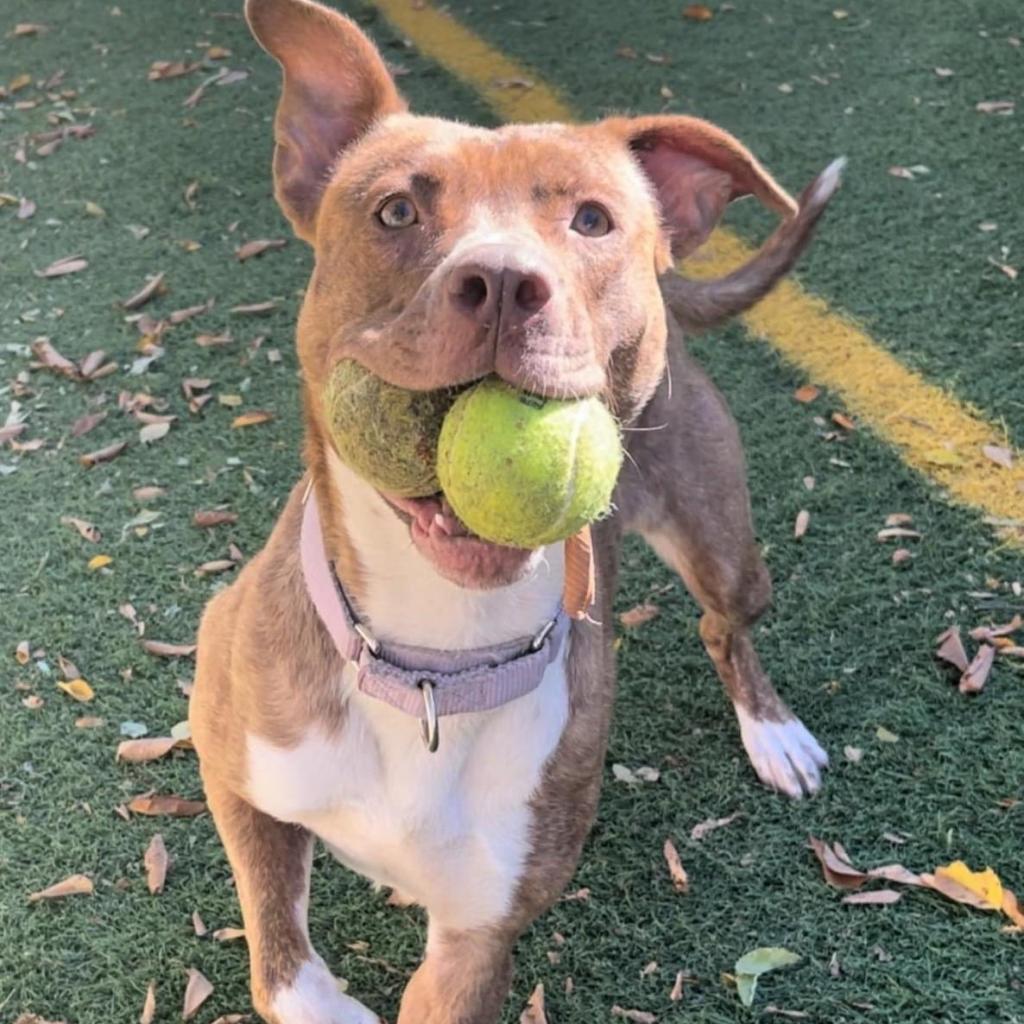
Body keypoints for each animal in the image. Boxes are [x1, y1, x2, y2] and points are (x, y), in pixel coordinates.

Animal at [190, 2, 839, 1024]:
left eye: (593, 220)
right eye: (397, 210)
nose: (501, 280)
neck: (435, 662)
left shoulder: (476, 941)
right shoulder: (232, 761)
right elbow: (280, 962)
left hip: (727, 546)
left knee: (724, 625)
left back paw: (773, 732)